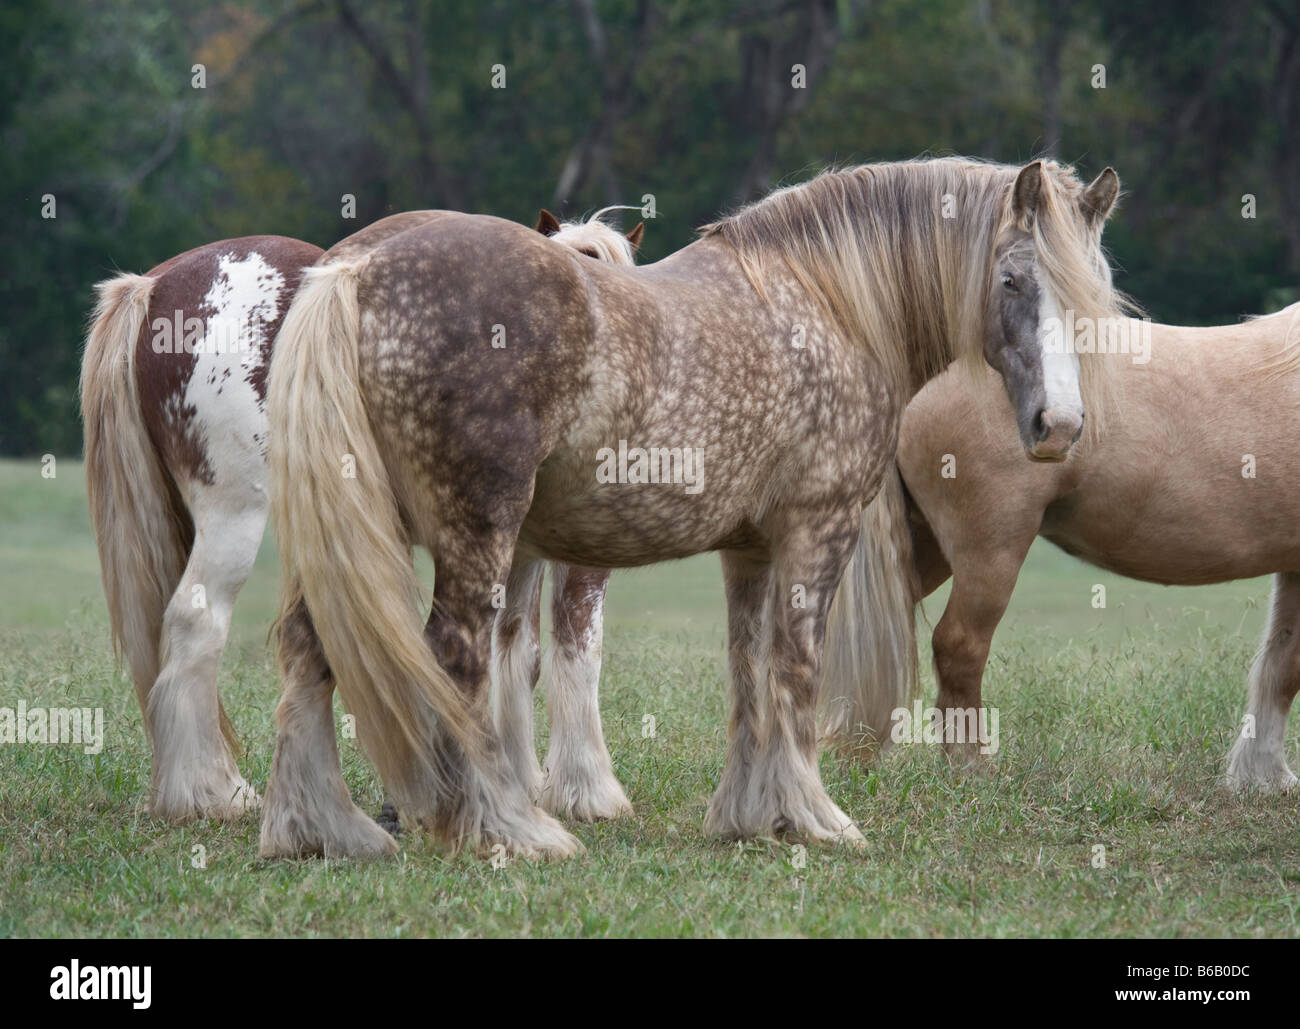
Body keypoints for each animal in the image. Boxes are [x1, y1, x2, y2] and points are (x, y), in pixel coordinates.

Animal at [81, 206, 639, 821]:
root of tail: (156, 287)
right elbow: (577, 650)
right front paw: (588, 790)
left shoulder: (513, 548)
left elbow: (517, 653)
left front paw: (520, 781)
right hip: (235, 516)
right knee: (194, 624)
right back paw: (212, 792)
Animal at [263, 154, 1128, 862]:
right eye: (1013, 280)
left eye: (1089, 288)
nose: (1058, 425)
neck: (826, 301)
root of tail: (357, 266)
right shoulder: (819, 529)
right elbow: (798, 668)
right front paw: (817, 818)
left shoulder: (749, 550)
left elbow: (749, 673)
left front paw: (749, 816)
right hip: (477, 535)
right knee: (458, 658)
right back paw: (513, 829)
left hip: (352, 536)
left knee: (310, 648)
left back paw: (321, 830)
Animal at [837, 301, 1300, 784]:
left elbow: (1281, 665)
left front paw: (1264, 777)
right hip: (991, 549)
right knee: (959, 645)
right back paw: (971, 767)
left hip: (925, 544)